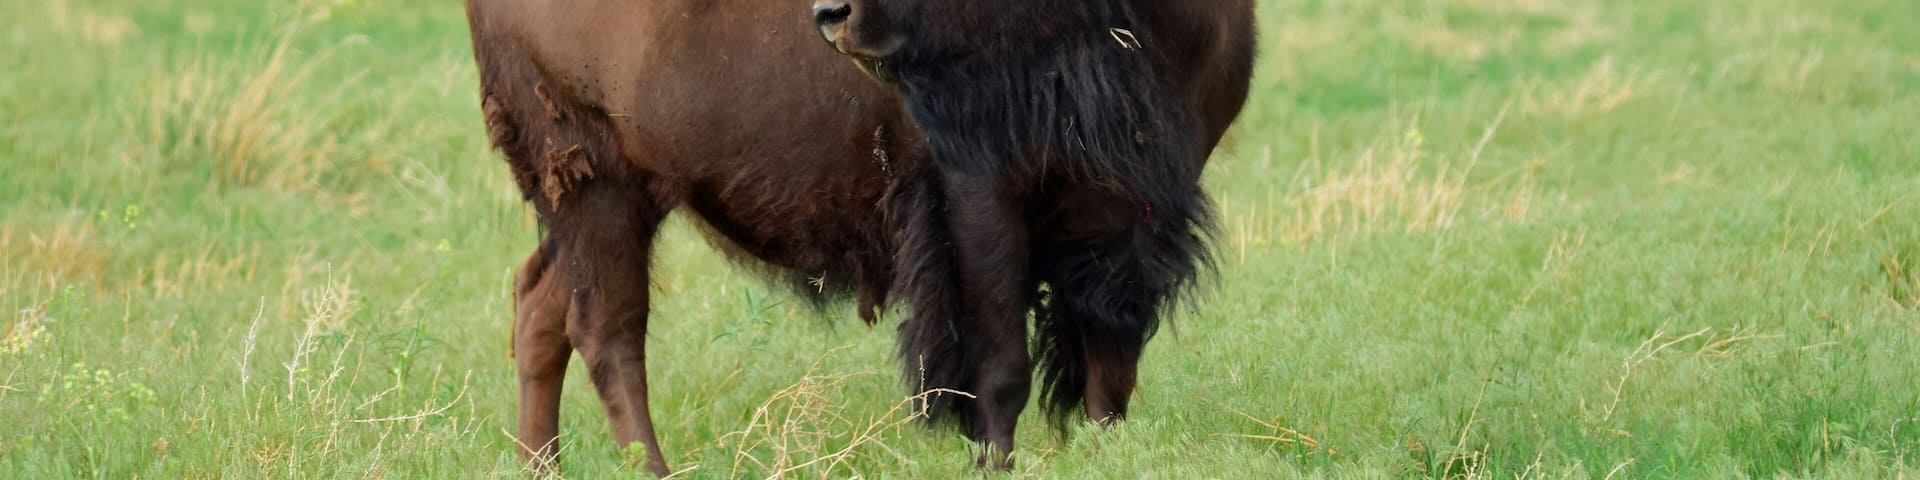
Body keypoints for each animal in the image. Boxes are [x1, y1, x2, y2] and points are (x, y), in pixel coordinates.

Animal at [467, 0, 1253, 474]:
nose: (833, 13)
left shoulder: (1137, 214)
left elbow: (1109, 375)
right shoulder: (979, 193)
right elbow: (1001, 369)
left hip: (601, 204)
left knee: (540, 306)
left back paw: (540, 465)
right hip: (597, 182)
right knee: (608, 331)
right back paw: (653, 469)